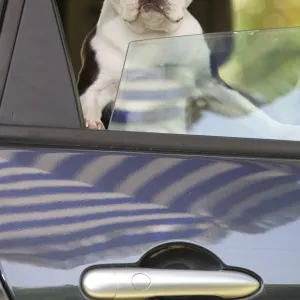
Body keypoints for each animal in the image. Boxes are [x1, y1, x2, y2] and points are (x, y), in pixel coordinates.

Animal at [78, 0, 300, 138]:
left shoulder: (211, 86)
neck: (151, 35)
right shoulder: (95, 86)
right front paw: (92, 122)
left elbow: (251, 111)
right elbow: (89, 101)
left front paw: (284, 131)